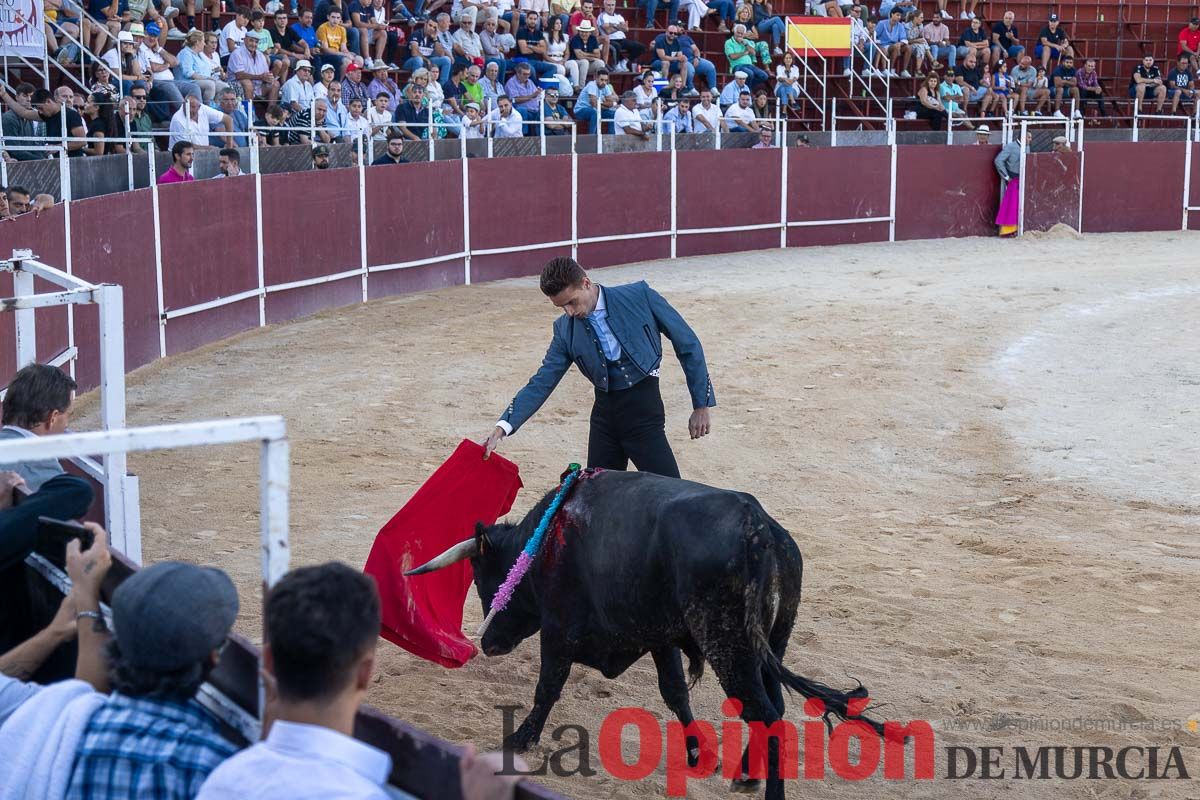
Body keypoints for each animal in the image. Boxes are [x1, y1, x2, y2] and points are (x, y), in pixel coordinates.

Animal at [408, 472, 888, 796]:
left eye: (484, 579)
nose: (489, 644)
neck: (545, 540)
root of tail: (760, 529)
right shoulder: (658, 636)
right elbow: (674, 690)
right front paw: (698, 753)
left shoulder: (560, 627)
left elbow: (548, 686)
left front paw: (520, 738)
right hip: (770, 643)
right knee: (773, 707)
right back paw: (746, 774)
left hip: (728, 646)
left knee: (765, 714)